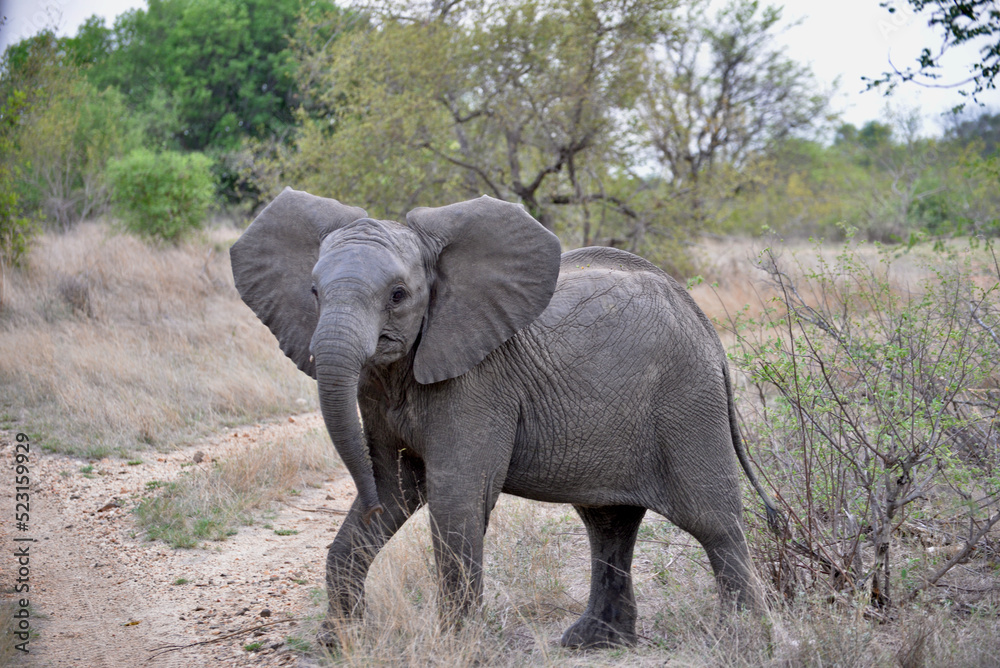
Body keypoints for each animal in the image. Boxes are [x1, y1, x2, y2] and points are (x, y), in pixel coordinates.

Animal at [230, 187, 776, 648]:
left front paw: (455, 648)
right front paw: (337, 643)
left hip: (688, 401)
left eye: (398, 296)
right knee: (608, 523)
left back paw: (744, 640)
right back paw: (593, 643)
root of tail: (706, 324)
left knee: (714, 522)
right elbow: (396, 487)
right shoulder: (378, 389)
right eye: (314, 292)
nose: (363, 505)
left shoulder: (478, 383)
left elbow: (455, 500)